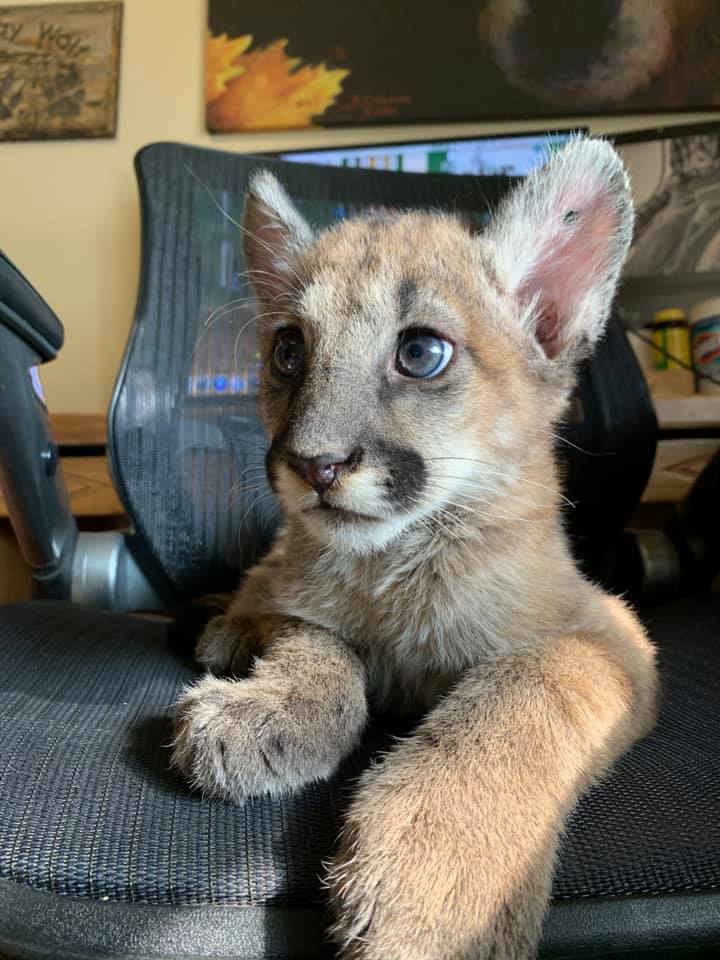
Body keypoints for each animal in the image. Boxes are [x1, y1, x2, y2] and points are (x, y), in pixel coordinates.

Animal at [173, 137, 660, 960]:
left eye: (422, 353)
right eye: (289, 351)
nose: (314, 464)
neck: (396, 564)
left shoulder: (611, 636)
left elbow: (523, 690)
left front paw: (437, 881)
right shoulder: (302, 600)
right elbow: (319, 643)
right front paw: (271, 711)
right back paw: (227, 630)